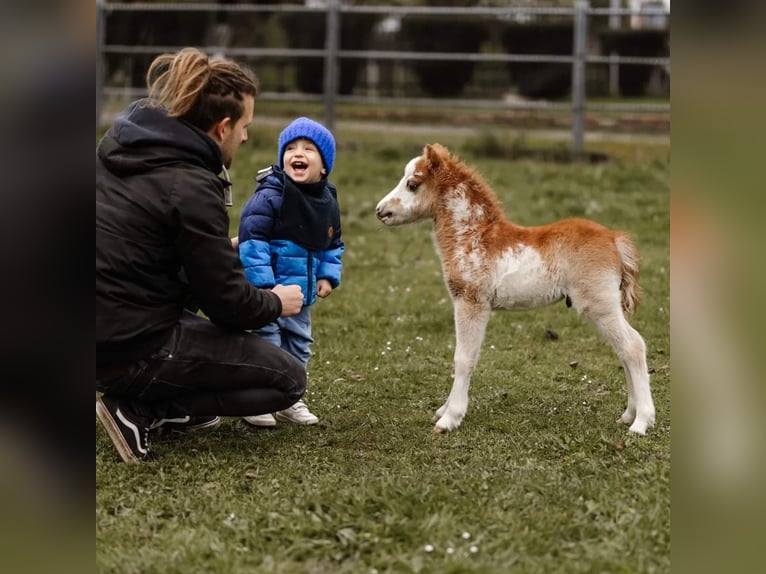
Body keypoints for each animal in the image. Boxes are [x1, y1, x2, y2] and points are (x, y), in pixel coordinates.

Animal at [376, 145, 656, 436]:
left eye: (413, 184)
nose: (381, 211)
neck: (473, 237)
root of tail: (614, 239)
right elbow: (467, 356)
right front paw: (444, 409)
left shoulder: (471, 302)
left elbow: (463, 358)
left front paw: (450, 418)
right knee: (624, 350)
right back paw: (628, 415)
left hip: (599, 305)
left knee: (633, 346)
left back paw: (641, 422)